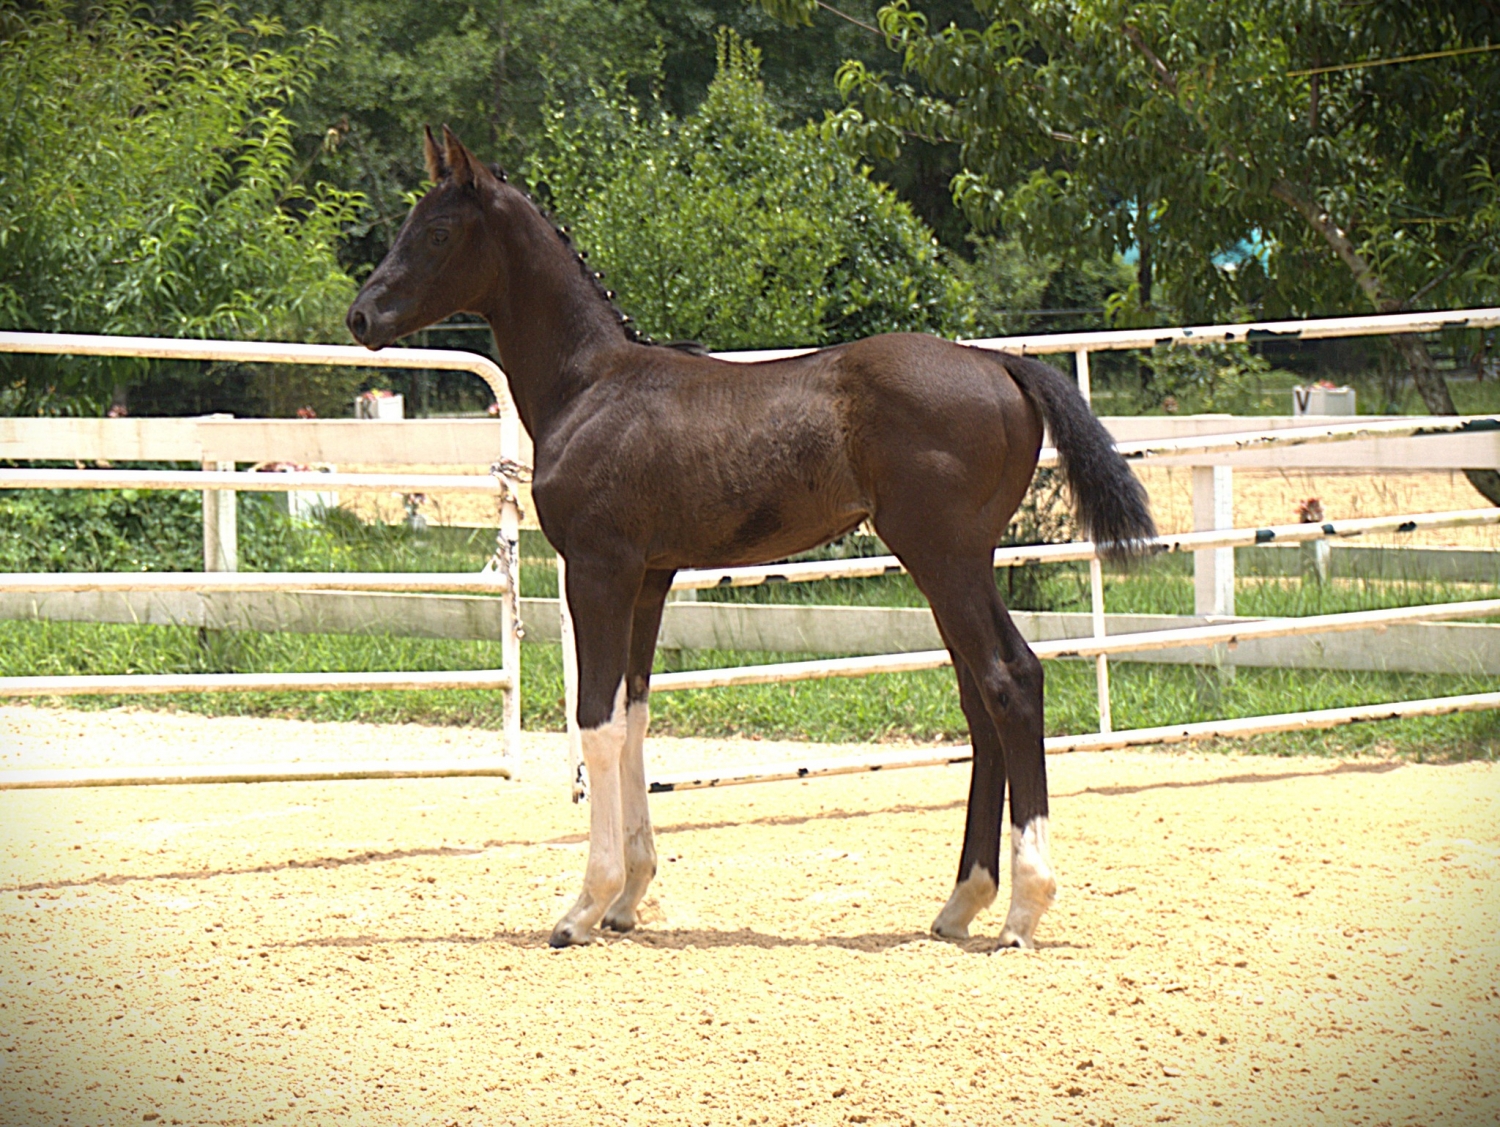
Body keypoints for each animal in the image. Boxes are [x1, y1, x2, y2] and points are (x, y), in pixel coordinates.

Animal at [347, 126, 1155, 949]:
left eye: (437, 232)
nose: (362, 317)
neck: (590, 385)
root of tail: (998, 363)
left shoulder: (599, 569)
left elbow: (598, 722)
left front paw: (582, 907)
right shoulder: (651, 577)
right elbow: (635, 717)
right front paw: (628, 898)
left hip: (944, 557)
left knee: (1009, 683)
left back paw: (1023, 910)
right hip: (962, 563)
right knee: (983, 699)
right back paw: (962, 901)